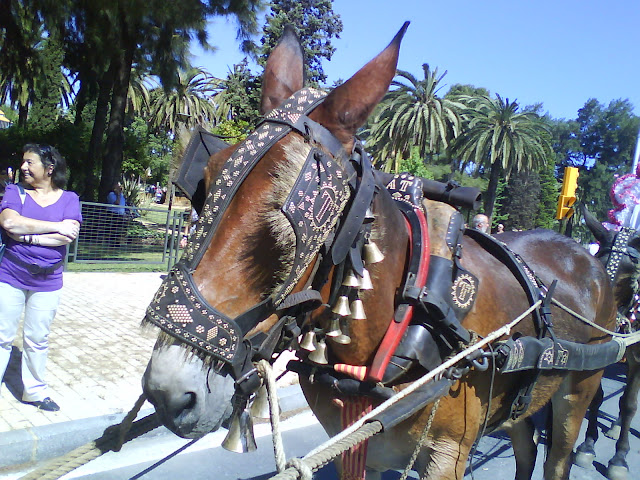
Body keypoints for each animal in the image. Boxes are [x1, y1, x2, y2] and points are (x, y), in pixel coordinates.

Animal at [141, 24, 619, 479]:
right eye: (204, 184)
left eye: (288, 218)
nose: (168, 392)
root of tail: (588, 258)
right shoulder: (354, 447)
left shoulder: (448, 457)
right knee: (525, 447)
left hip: (580, 386)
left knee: (557, 456)